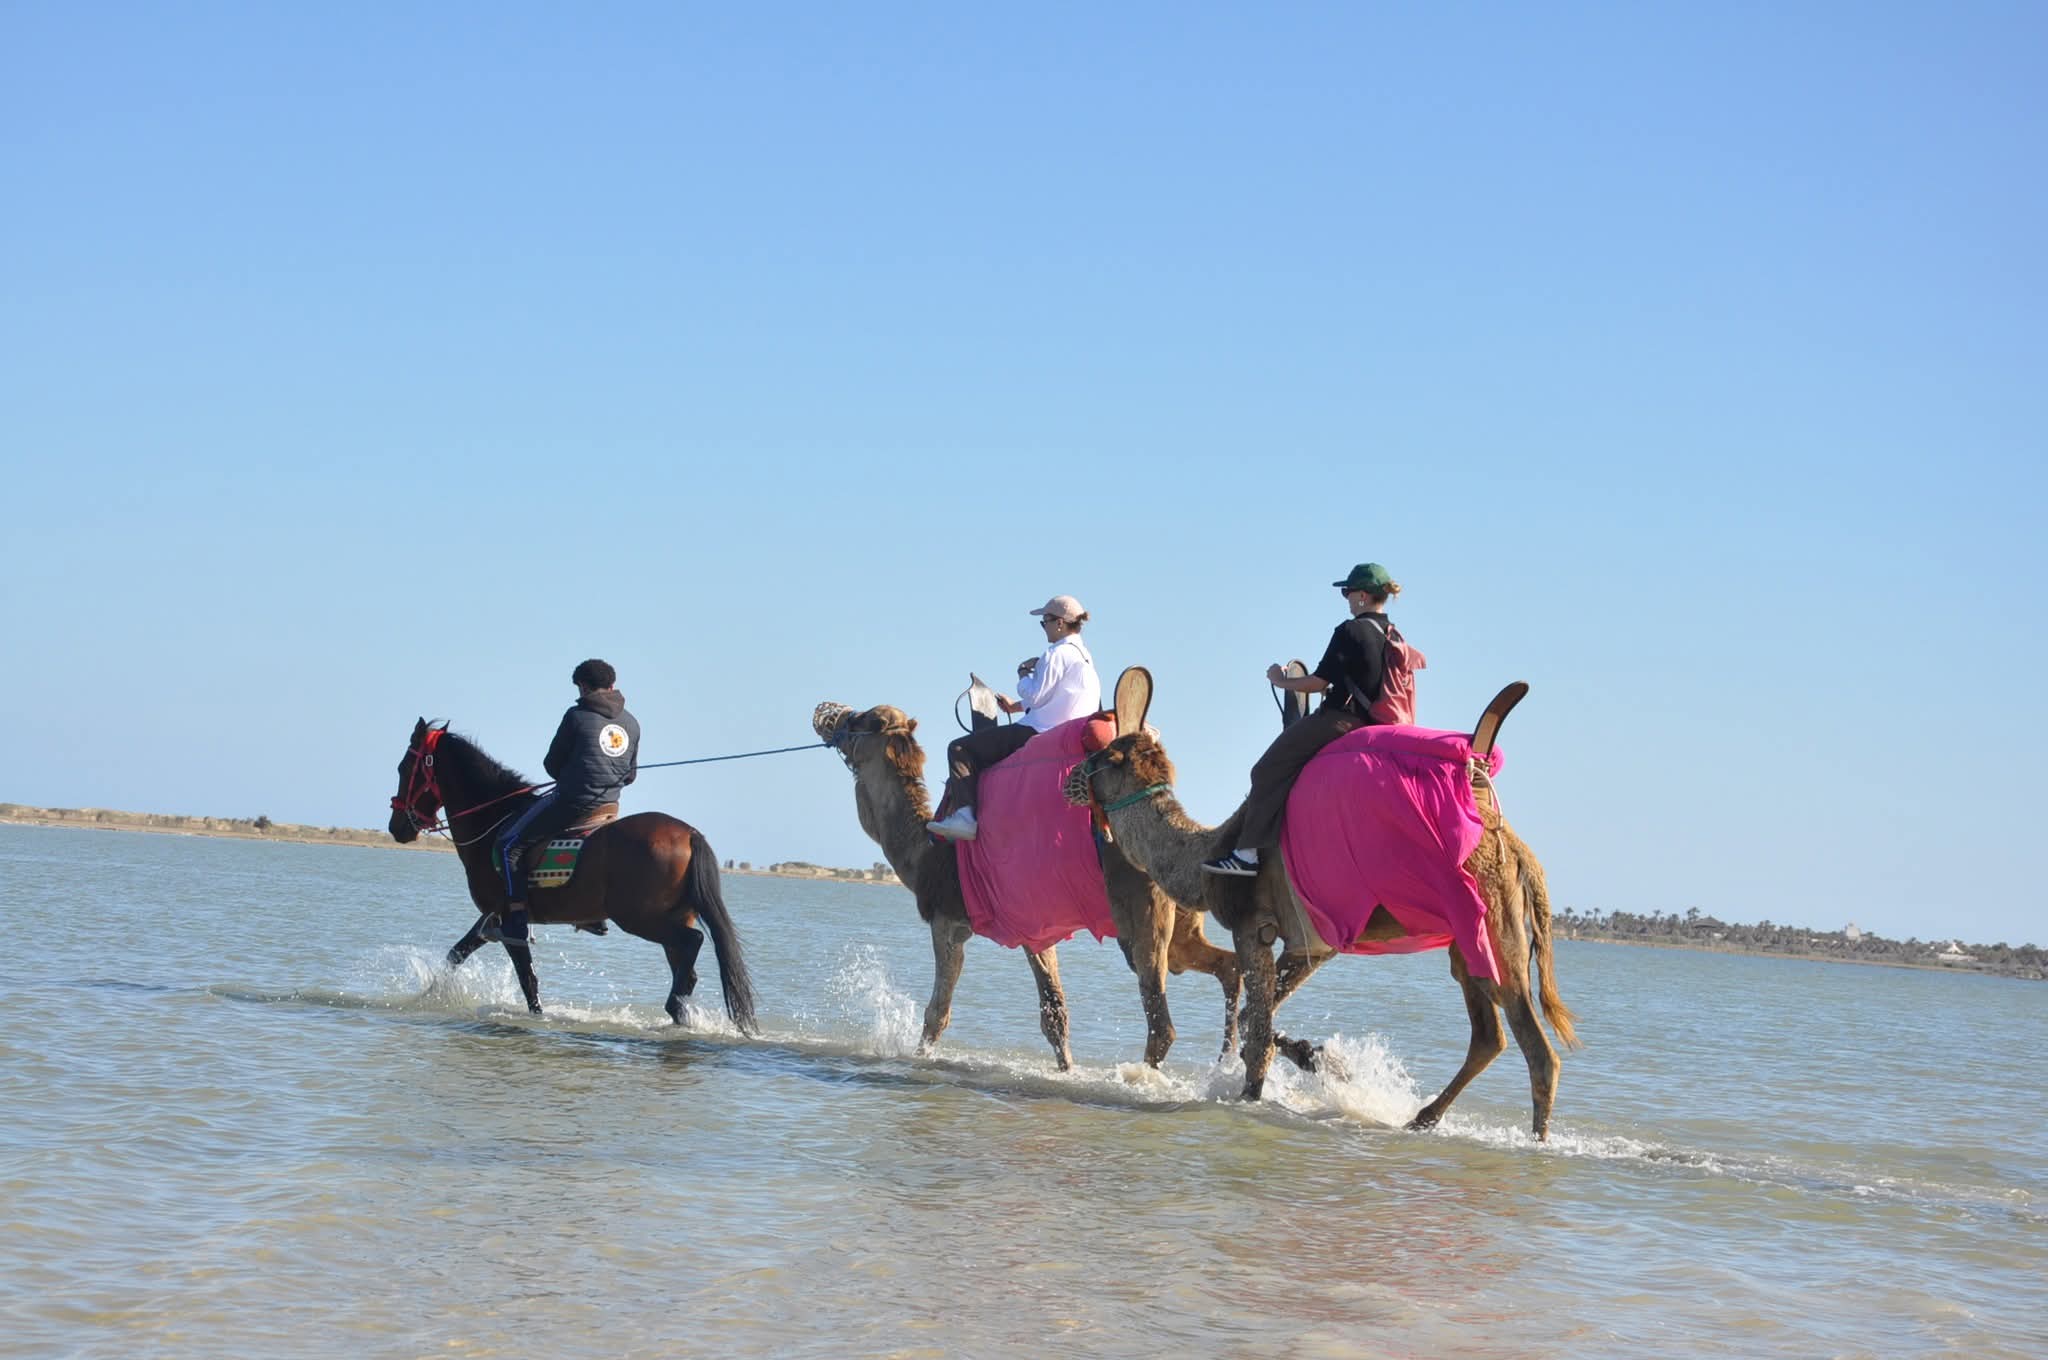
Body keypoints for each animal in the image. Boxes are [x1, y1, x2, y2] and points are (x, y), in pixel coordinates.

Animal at [387, 717, 757, 1032]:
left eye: (405, 767)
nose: (397, 827)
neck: (494, 819)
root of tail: (689, 833)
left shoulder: (508, 921)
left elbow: (527, 979)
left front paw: (537, 1018)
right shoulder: (492, 919)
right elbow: (457, 953)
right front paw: (424, 998)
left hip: (640, 918)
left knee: (692, 944)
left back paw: (674, 1007)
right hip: (673, 917)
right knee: (687, 968)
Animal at [812, 701, 1242, 1070]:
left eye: (864, 719)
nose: (826, 712)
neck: (928, 854)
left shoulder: (947, 921)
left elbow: (937, 1012)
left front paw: (919, 1058)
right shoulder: (1035, 928)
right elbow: (1054, 1013)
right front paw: (1066, 1070)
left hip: (1143, 910)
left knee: (1161, 1023)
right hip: (1178, 920)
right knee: (1226, 966)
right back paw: (1225, 1063)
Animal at [1067, 676, 1581, 1138]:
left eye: (1105, 757)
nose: (1072, 777)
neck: (1206, 856)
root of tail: (1519, 851)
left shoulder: (1251, 925)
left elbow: (1257, 1034)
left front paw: (1251, 1098)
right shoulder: (1313, 942)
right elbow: (1256, 1020)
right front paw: (1319, 1058)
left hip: (1493, 919)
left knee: (1536, 1047)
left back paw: (1535, 1141)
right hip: (1467, 939)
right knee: (1488, 1035)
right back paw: (1422, 1118)